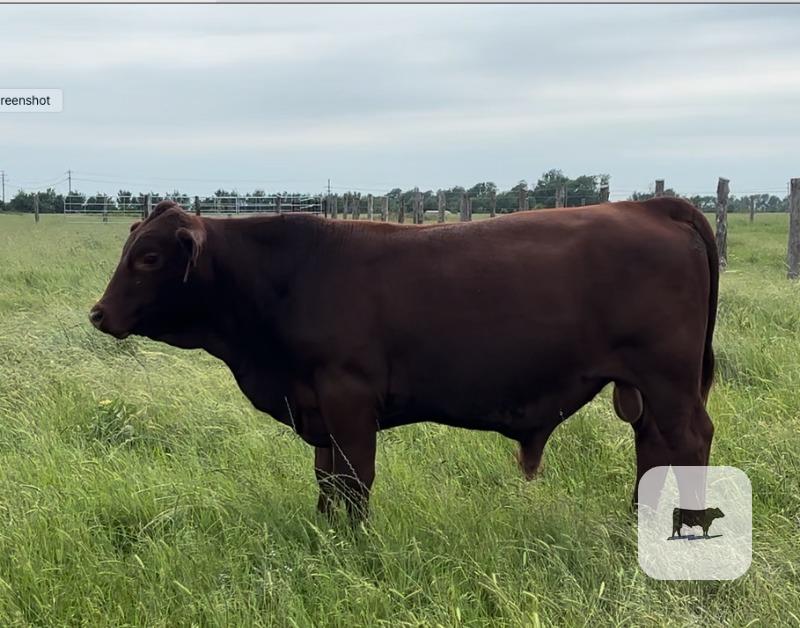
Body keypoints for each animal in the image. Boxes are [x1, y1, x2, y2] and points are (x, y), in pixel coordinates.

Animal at [90, 197, 718, 521]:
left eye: (148, 257)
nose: (98, 313)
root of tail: (651, 204)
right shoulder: (317, 406)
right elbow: (328, 481)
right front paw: (327, 538)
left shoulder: (347, 397)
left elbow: (355, 480)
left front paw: (355, 545)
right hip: (646, 389)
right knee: (653, 447)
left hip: (668, 379)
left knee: (688, 442)